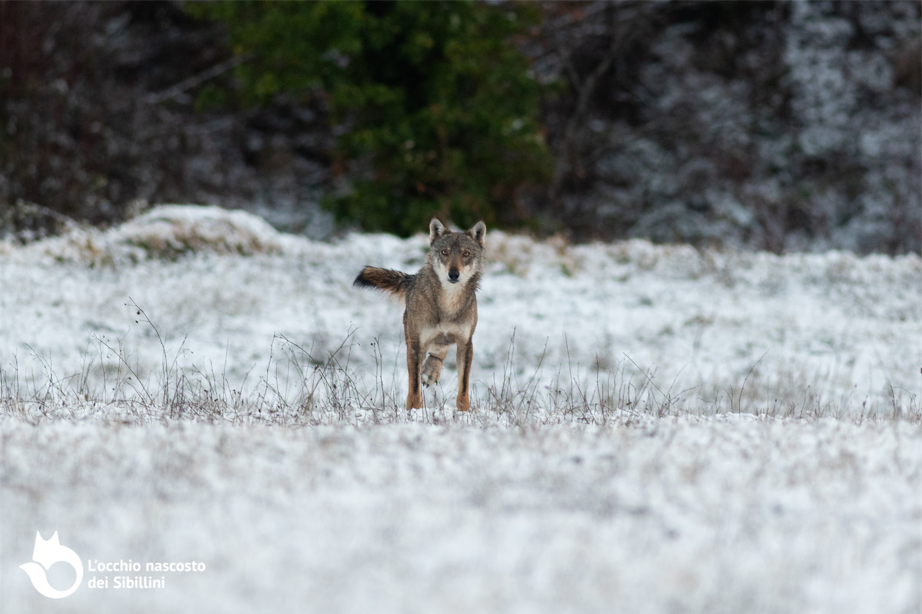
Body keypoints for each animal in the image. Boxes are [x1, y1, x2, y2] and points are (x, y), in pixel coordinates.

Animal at [354, 219, 486, 411]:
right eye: (444, 252)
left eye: (466, 253)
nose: (454, 274)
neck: (448, 304)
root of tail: (414, 278)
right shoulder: (416, 344)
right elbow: (414, 386)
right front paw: (414, 411)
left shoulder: (466, 343)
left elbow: (463, 386)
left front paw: (463, 412)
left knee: (440, 350)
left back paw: (430, 371)